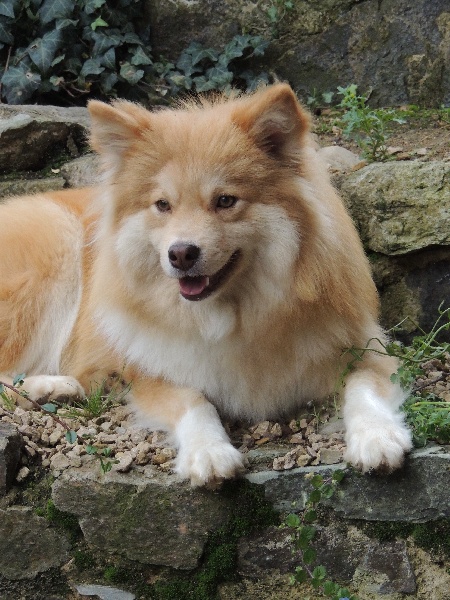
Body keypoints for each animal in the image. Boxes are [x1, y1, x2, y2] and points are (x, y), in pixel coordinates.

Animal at [0, 84, 412, 485]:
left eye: (225, 200)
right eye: (163, 205)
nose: (181, 254)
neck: (234, 318)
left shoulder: (363, 347)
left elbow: (363, 386)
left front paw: (376, 437)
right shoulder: (152, 371)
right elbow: (193, 401)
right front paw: (208, 452)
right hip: (55, 252)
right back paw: (51, 387)